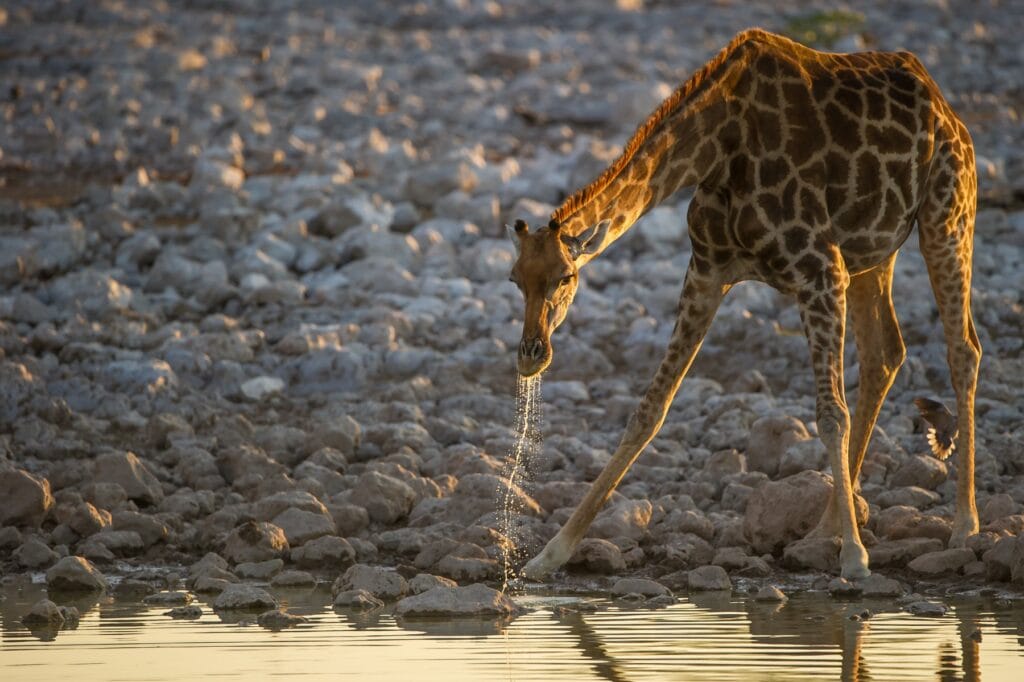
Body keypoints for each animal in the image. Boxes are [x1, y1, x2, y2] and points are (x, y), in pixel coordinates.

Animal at [508, 28, 980, 581]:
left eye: (566, 277)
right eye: (514, 279)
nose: (531, 355)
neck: (717, 146)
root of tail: (946, 109)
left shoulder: (819, 270)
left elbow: (830, 414)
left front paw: (856, 557)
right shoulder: (708, 271)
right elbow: (649, 410)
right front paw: (549, 553)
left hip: (947, 216)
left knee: (963, 350)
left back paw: (963, 526)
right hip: (872, 251)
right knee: (885, 354)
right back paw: (823, 529)